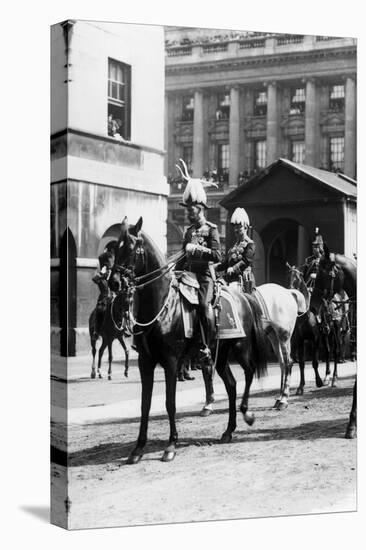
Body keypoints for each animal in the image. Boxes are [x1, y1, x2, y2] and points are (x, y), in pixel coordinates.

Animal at [116, 218, 268, 464]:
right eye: (115, 247)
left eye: (131, 248)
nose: (113, 281)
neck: (161, 306)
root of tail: (244, 297)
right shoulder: (145, 362)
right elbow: (145, 404)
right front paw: (138, 449)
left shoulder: (170, 361)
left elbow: (170, 403)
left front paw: (170, 446)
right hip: (220, 355)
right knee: (231, 385)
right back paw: (228, 431)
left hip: (240, 348)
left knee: (249, 372)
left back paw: (247, 413)